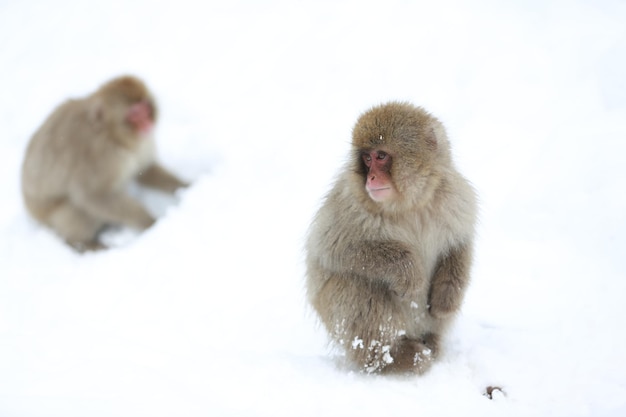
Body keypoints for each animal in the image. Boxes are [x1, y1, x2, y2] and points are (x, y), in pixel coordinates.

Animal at [22, 75, 188, 250]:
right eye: (134, 114)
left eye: (145, 107)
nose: (147, 124)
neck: (111, 133)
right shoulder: (98, 155)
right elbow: (95, 195)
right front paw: (150, 223)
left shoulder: (141, 142)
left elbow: (146, 171)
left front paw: (186, 187)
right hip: (51, 217)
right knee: (77, 207)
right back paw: (85, 244)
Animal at [304, 101, 476, 374]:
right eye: (366, 158)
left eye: (381, 156)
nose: (371, 178)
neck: (411, 204)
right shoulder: (348, 204)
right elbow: (333, 249)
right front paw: (409, 273)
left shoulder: (455, 196)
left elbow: (459, 244)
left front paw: (446, 300)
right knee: (356, 285)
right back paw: (395, 356)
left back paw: (431, 342)